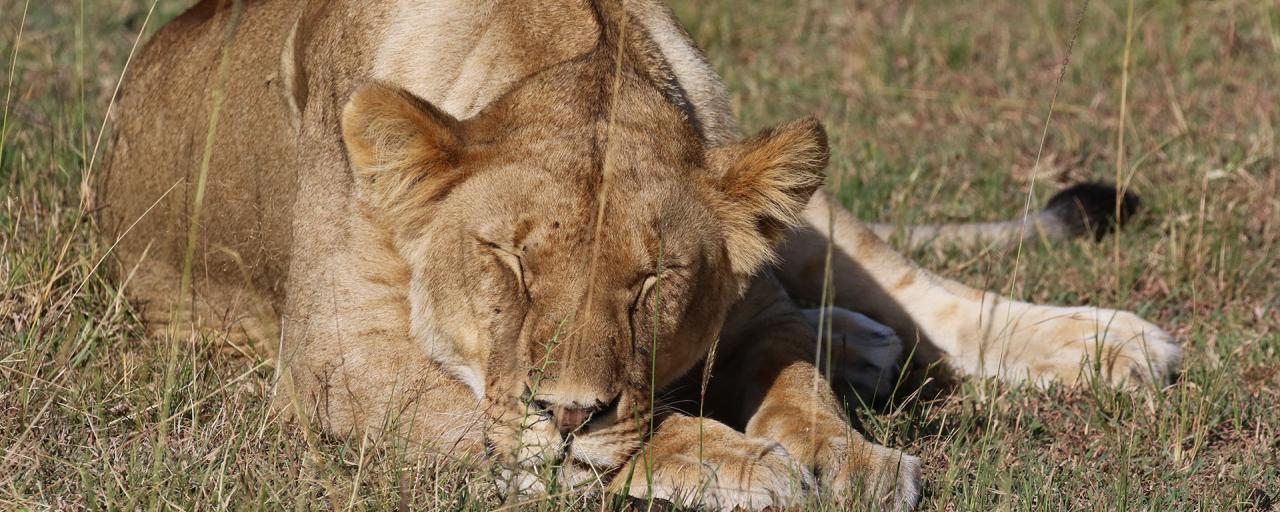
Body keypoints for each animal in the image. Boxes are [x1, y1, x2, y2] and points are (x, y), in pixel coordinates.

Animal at [99, 2, 1177, 509]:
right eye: (506, 261)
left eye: (654, 280)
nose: (574, 408)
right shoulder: (337, 357)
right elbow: (530, 433)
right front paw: (740, 461)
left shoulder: (749, 294)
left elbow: (796, 380)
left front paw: (846, 458)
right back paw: (871, 350)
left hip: (797, 202)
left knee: (912, 288)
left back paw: (1114, 347)